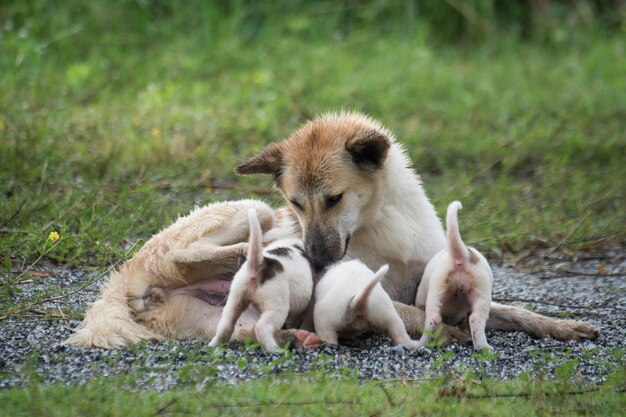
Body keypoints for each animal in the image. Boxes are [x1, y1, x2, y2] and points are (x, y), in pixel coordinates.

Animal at [208, 208, 312, 352]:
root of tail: (259, 265)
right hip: (276, 306)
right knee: (262, 328)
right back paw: (275, 350)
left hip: (235, 300)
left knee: (225, 326)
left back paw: (213, 345)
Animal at [414, 200, 492, 350]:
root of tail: (464, 256)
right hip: (480, 291)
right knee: (475, 319)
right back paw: (484, 347)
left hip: (440, 288)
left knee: (433, 319)